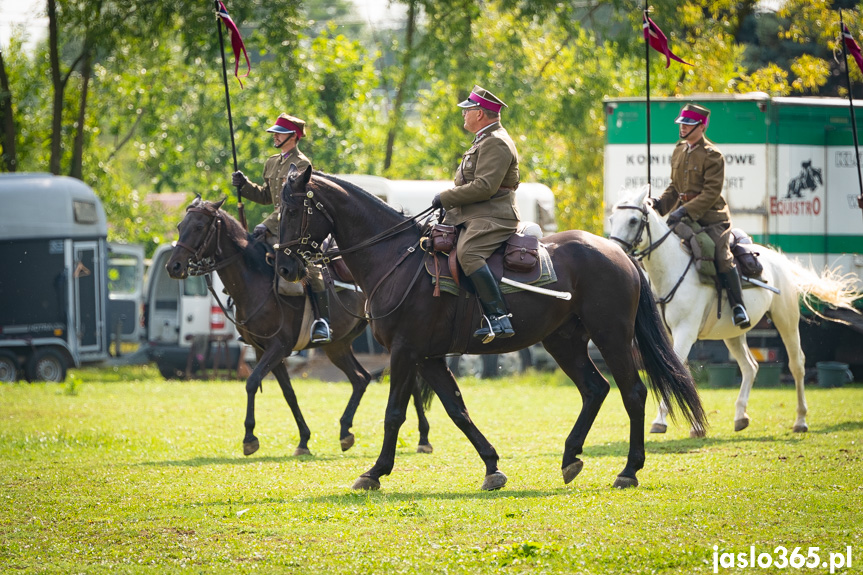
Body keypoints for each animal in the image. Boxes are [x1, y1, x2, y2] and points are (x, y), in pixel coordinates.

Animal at [164, 198, 432, 460]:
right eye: (180, 226)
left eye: (199, 227)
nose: (173, 266)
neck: (256, 281)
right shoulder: (263, 350)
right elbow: (288, 392)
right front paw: (303, 440)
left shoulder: (279, 347)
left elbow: (252, 382)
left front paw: (250, 438)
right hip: (337, 346)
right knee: (361, 378)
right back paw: (345, 431)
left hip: (394, 343)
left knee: (411, 386)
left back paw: (423, 438)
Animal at [276, 165, 708, 490]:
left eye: (293, 209)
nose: (284, 268)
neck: (395, 258)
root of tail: (617, 252)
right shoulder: (429, 357)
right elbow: (458, 410)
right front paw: (492, 466)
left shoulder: (405, 351)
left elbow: (394, 412)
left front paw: (374, 472)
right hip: (564, 341)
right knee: (594, 389)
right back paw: (570, 457)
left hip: (612, 337)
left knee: (632, 393)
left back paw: (629, 470)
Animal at [612, 188, 860, 436]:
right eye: (613, 219)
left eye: (633, 220)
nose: (614, 252)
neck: (672, 269)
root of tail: (779, 260)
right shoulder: (670, 336)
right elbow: (682, 373)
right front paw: (696, 426)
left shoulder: (685, 333)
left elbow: (675, 371)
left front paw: (660, 421)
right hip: (733, 333)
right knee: (750, 366)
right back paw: (741, 416)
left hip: (786, 321)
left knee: (796, 364)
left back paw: (800, 420)